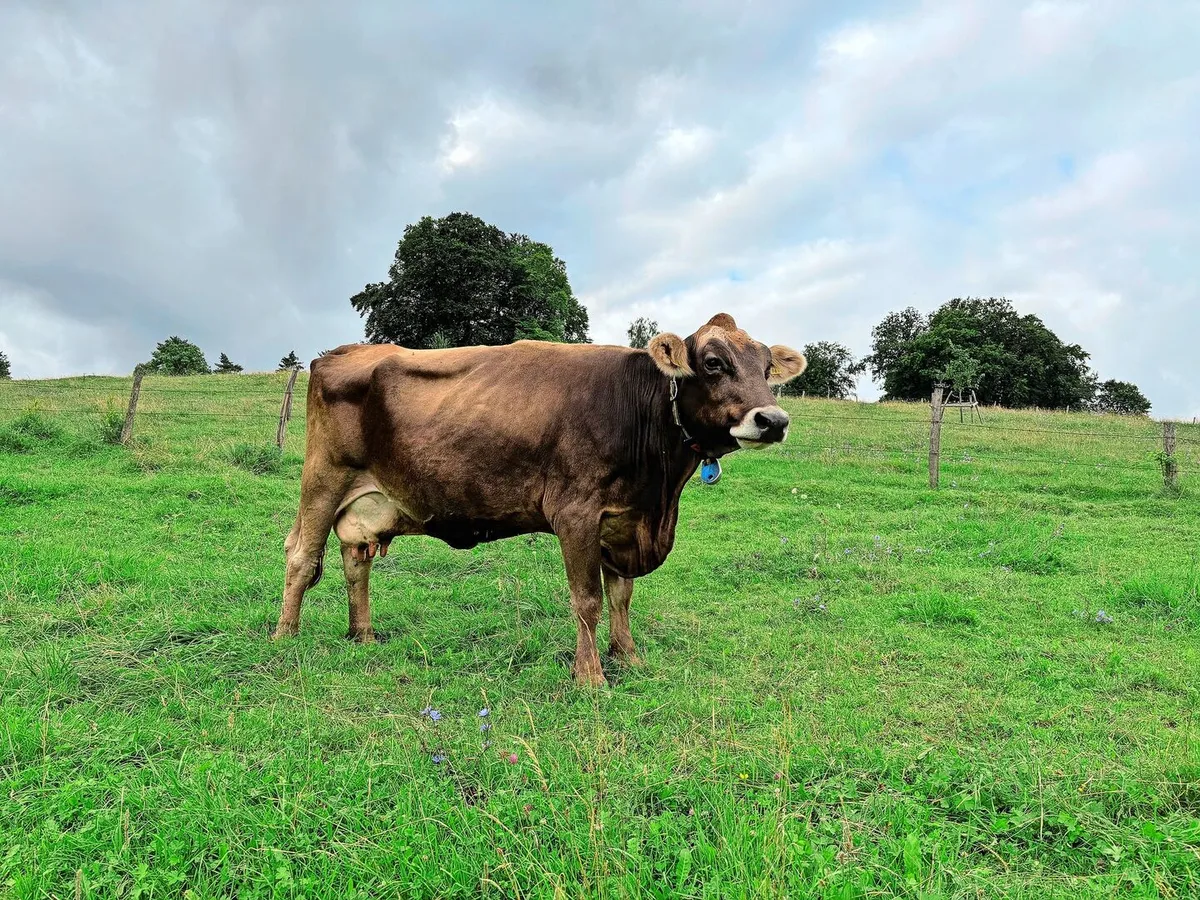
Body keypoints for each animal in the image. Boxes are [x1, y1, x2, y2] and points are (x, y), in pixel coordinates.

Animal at [273, 313, 806, 686]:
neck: (658, 496)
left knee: (355, 560)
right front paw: (590, 677)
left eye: (766, 368)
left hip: (369, 501)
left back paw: (362, 635)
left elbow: (621, 596)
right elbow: (587, 600)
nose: (774, 420)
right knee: (301, 555)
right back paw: (285, 637)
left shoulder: (622, 518)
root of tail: (337, 353)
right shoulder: (576, 512)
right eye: (713, 363)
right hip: (324, 477)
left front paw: (628, 657)